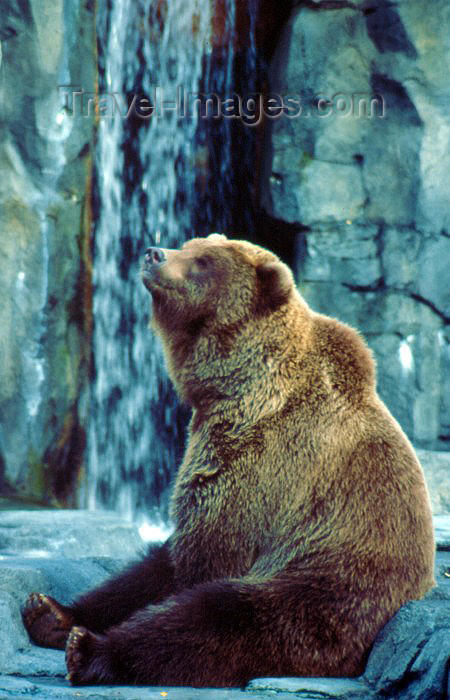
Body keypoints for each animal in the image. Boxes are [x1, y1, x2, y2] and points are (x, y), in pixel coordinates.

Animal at [22, 234, 436, 684]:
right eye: (190, 245)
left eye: (203, 262)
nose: (154, 253)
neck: (238, 383)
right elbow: (155, 564)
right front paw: (55, 609)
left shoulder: (264, 461)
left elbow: (203, 553)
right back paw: (49, 617)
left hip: (327, 593)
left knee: (224, 618)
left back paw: (90, 652)